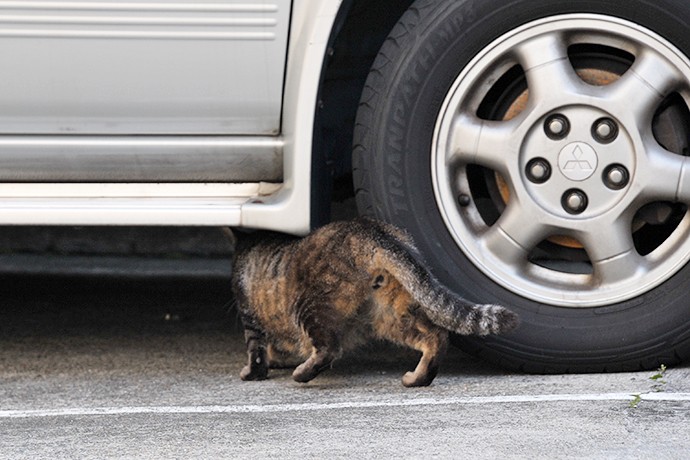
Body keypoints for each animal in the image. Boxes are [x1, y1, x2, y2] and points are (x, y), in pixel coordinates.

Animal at [231, 217, 516, 386]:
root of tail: (372, 231)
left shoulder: (249, 315)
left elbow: (257, 351)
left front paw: (254, 372)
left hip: (311, 306)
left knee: (329, 348)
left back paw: (302, 373)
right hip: (392, 314)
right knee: (436, 336)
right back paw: (417, 378)